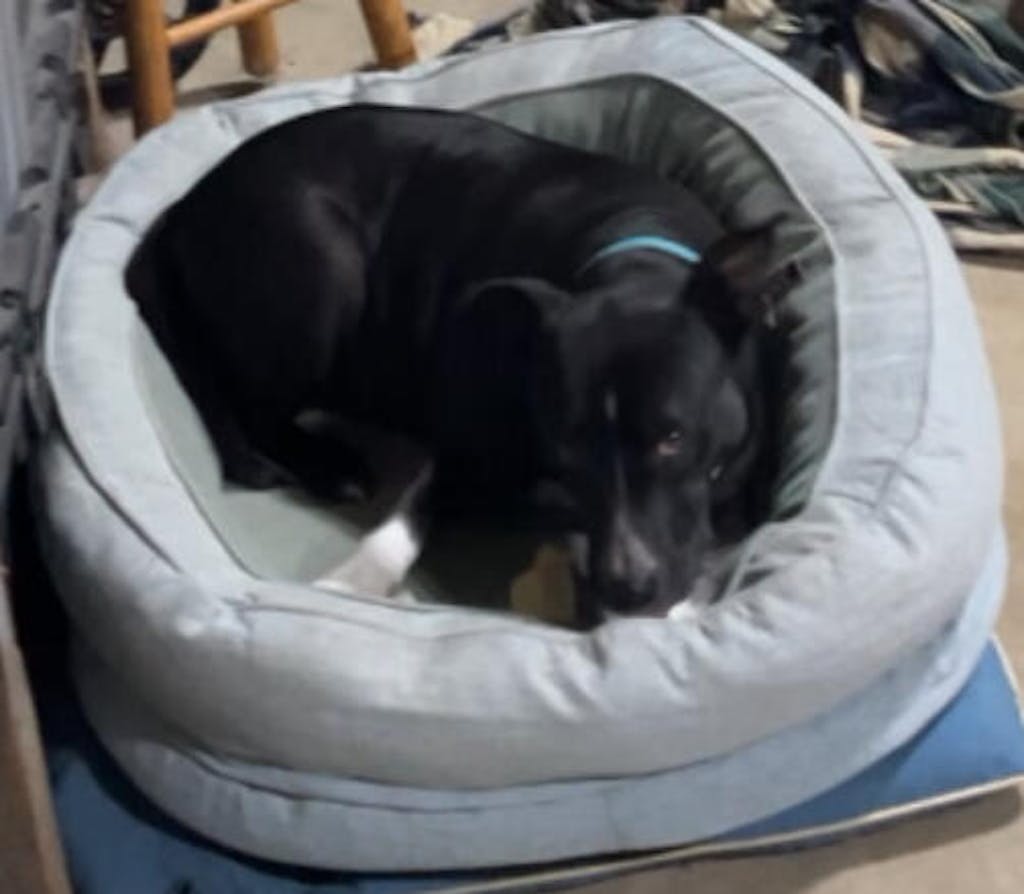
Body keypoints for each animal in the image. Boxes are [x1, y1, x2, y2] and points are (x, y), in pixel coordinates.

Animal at [126, 105, 781, 623]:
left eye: (674, 439)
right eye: (566, 451)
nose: (625, 588)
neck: (635, 256)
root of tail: (184, 209)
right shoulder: (466, 450)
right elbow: (404, 523)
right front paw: (350, 585)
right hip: (322, 263)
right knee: (250, 405)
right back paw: (326, 464)